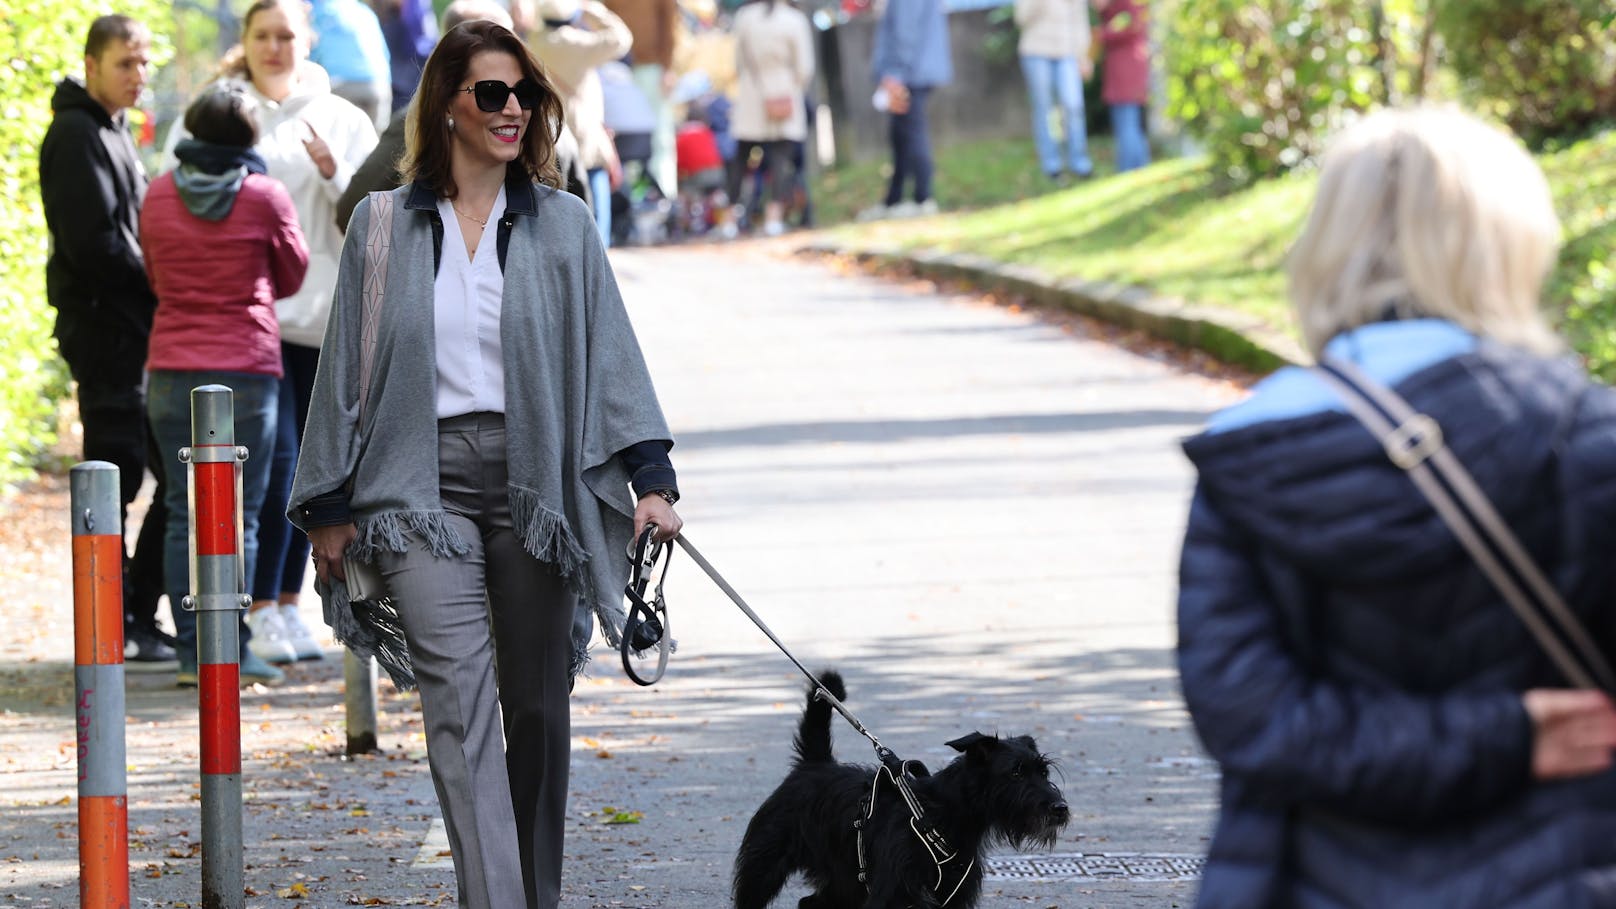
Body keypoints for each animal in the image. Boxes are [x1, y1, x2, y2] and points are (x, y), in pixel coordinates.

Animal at [730, 669, 1060, 899]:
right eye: (1016, 773)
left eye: (1044, 772)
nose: (1058, 808)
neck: (941, 815)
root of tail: (812, 764)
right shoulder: (893, 892)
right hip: (764, 869)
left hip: (845, 883)